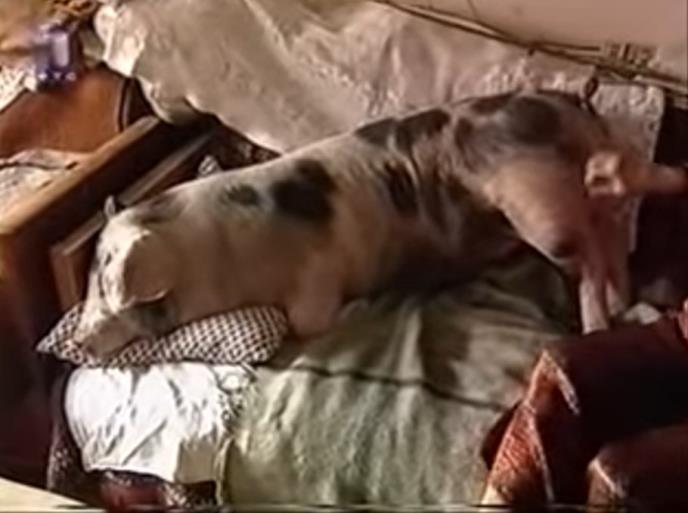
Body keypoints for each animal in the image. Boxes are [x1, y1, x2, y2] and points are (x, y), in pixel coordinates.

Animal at [74, 89, 688, 357]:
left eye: (105, 279)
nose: (74, 343)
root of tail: (567, 107)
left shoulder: (315, 278)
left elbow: (307, 323)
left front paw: (359, 309)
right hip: (585, 195)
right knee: (613, 224)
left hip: (539, 205)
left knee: (589, 256)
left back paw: (596, 329)